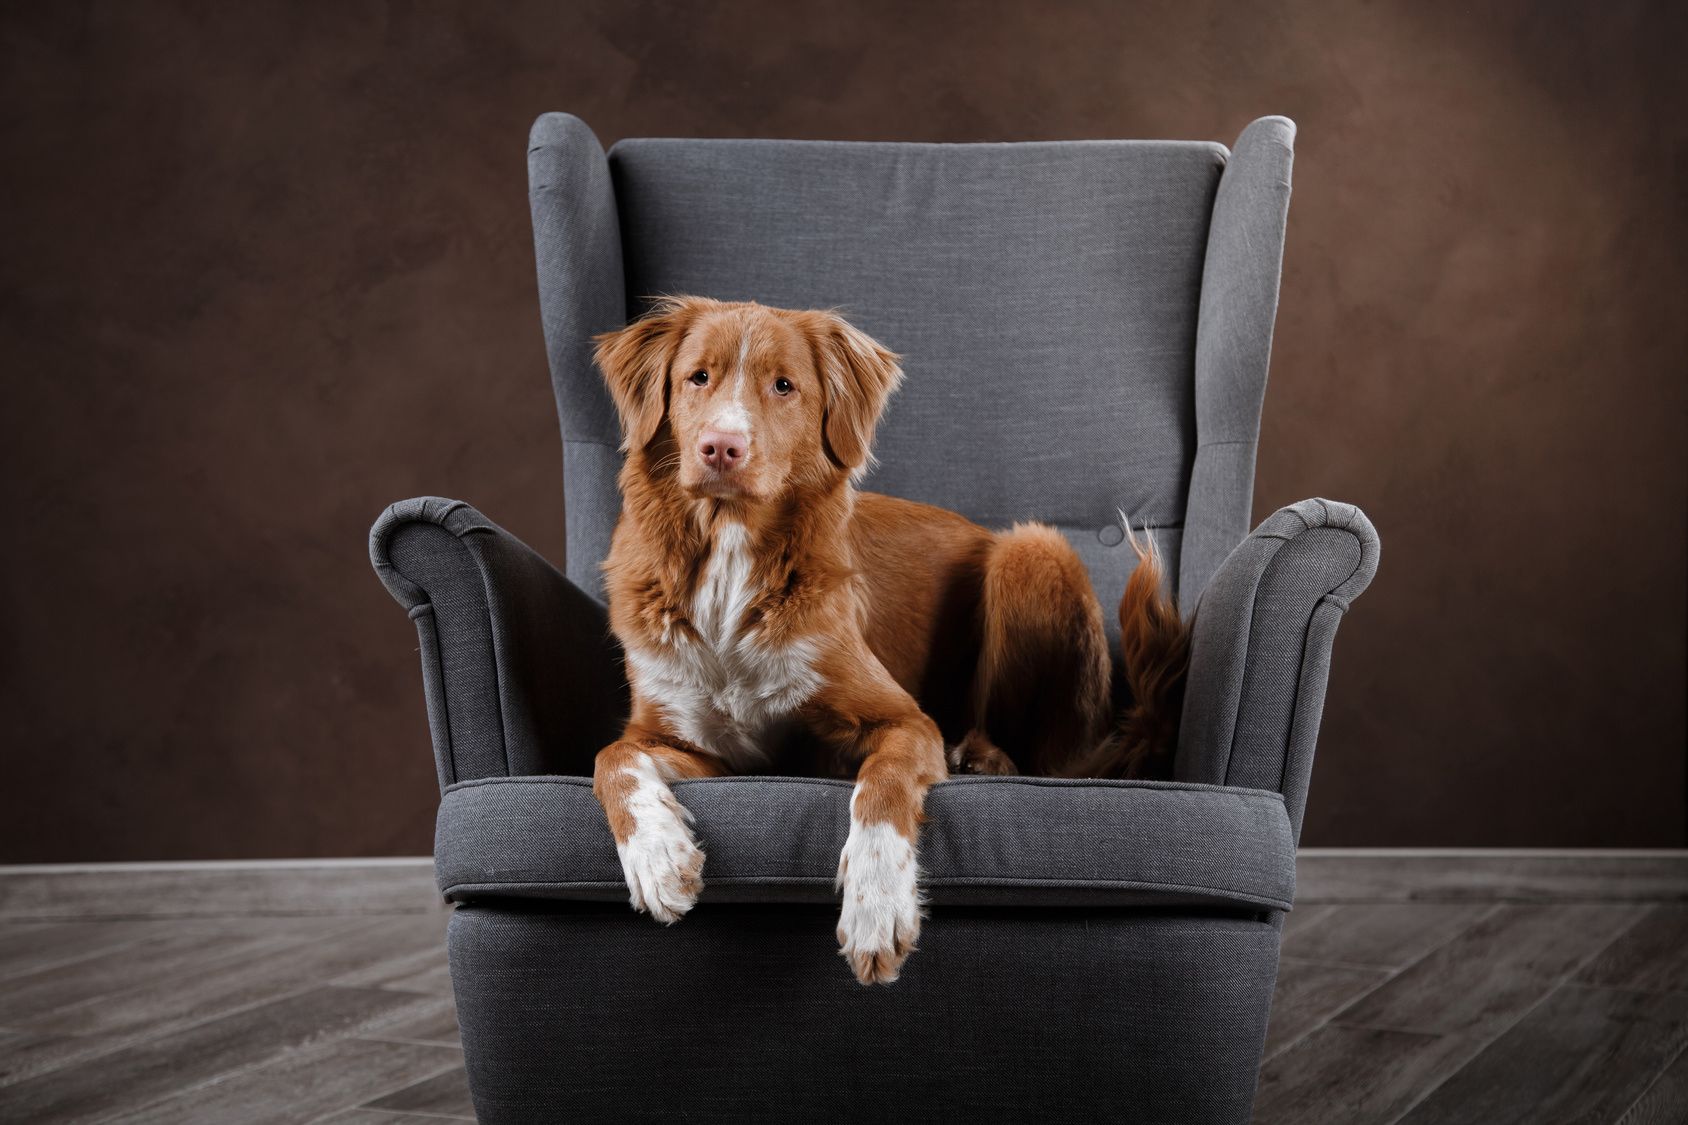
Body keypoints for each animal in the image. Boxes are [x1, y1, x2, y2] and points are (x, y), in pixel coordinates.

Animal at [594, 295, 1188, 979]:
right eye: (698, 377)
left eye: (783, 386)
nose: (722, 447)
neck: (729, 559)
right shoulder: (702, 749)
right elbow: (611, 756)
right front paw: (658, 857)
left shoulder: (903, 721)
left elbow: (880, 786)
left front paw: (876, 908)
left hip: (1031, 548)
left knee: (1039, 758)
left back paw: (980, 757)